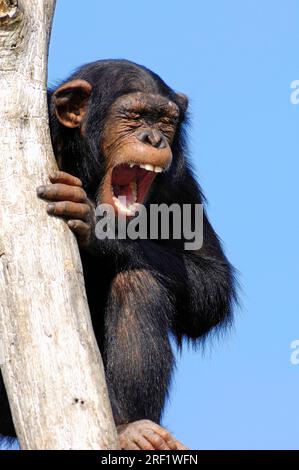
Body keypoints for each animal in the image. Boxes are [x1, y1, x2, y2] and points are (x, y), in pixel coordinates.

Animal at [0, 60, 236, 450]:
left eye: (165, 120)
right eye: (135, 116)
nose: (154, 139)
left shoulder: (180, 178)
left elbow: (212, 281)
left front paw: (99, 227)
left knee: (138, 283)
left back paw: (129, 427)